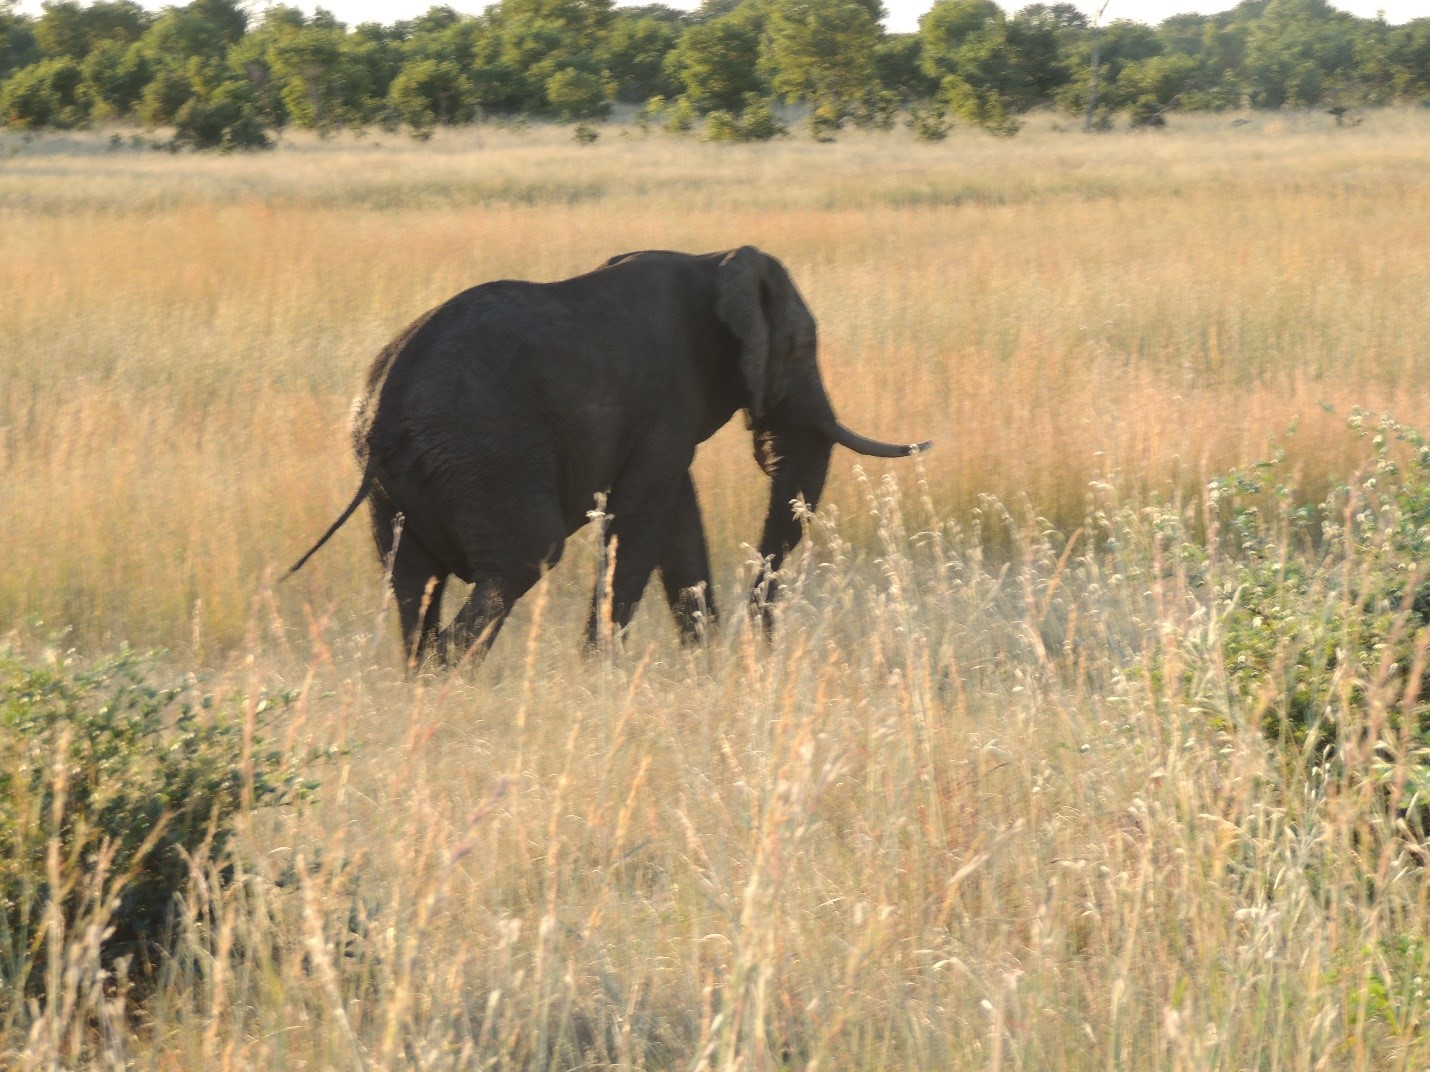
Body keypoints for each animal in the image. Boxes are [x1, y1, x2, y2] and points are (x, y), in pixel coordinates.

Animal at [288, 245, 932, 663]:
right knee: (524, 556)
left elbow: (676, 522)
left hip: (395, 483)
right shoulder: (668, 395)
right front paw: (601, 670)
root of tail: (382, 413)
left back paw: (423, 678)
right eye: (801, 346)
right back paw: (450, 675)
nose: (758, 644)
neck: (715, 260)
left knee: (411, 578)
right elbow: (643, 518)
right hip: (481, 457)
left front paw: (701, 664)